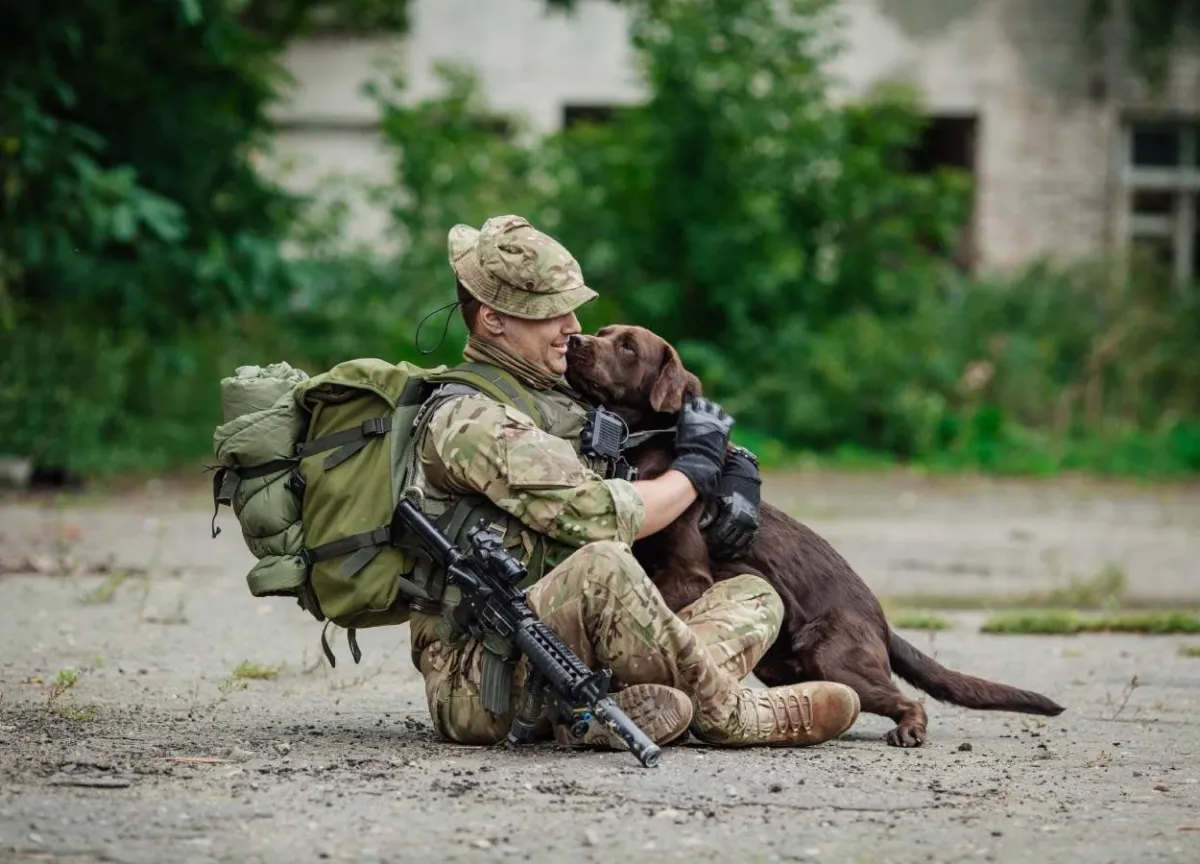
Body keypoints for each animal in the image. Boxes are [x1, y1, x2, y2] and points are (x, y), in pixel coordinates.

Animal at [566, 326, 1065, 744]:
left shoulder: (688, 576)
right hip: (784, 665)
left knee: (906, 698)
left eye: (627, 347)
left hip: (836, 655)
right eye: (604, 332)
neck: (644, 447)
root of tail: (881, 622)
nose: (575, 340)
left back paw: (908, 730)